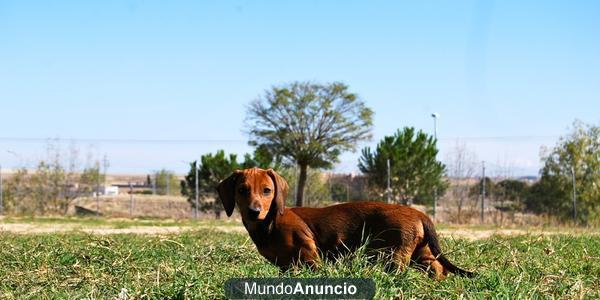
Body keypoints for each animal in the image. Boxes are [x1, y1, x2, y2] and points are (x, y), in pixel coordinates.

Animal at [216, 168, 474, 280]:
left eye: (267, 190)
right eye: (242, 190)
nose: (254, 212)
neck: (270, 223)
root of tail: (419, 213)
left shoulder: (309, 254)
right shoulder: (285, 264)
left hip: (394, 254)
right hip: (422, 252)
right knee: (437, 267)